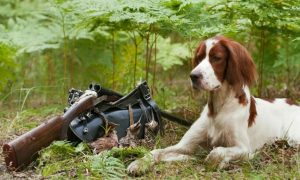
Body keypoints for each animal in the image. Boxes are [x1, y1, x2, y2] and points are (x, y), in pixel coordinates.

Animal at [126, 35, 300, 175]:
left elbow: (217, 151)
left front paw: (217, 162)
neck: (219, 108)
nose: (193, 76)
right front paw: (138, 163)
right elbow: (157, 151)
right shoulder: (186, 145)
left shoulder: (244, 148)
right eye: (199, 57)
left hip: (293, 137)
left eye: (216, 58)